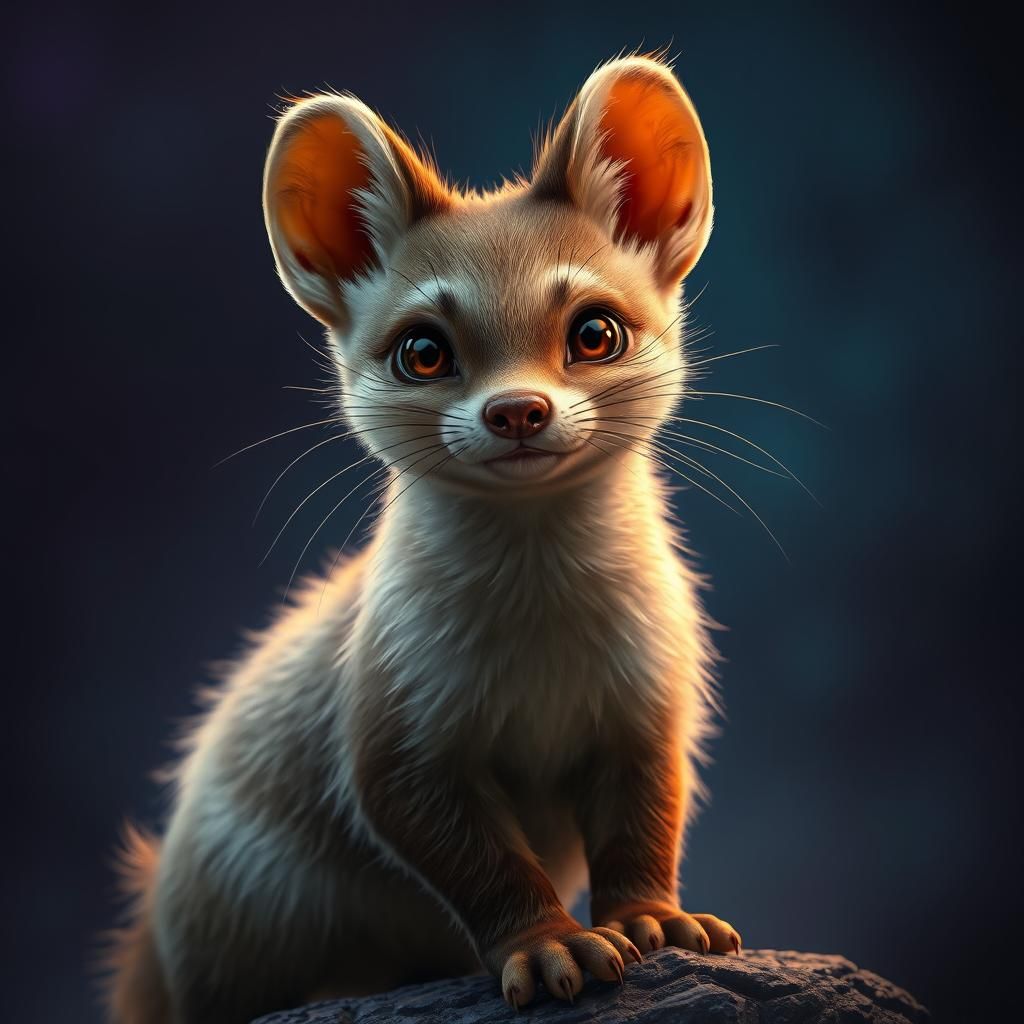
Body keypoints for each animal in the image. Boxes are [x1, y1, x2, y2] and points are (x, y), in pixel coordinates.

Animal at [106, 53, 744, 1024]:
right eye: (424, 350)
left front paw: (659, 924)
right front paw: (553, 949)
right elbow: (484, 866)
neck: (542, 646)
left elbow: (643, 829)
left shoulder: (651, 706)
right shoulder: (389, 735)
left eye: (595, 330)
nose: (518, 409)